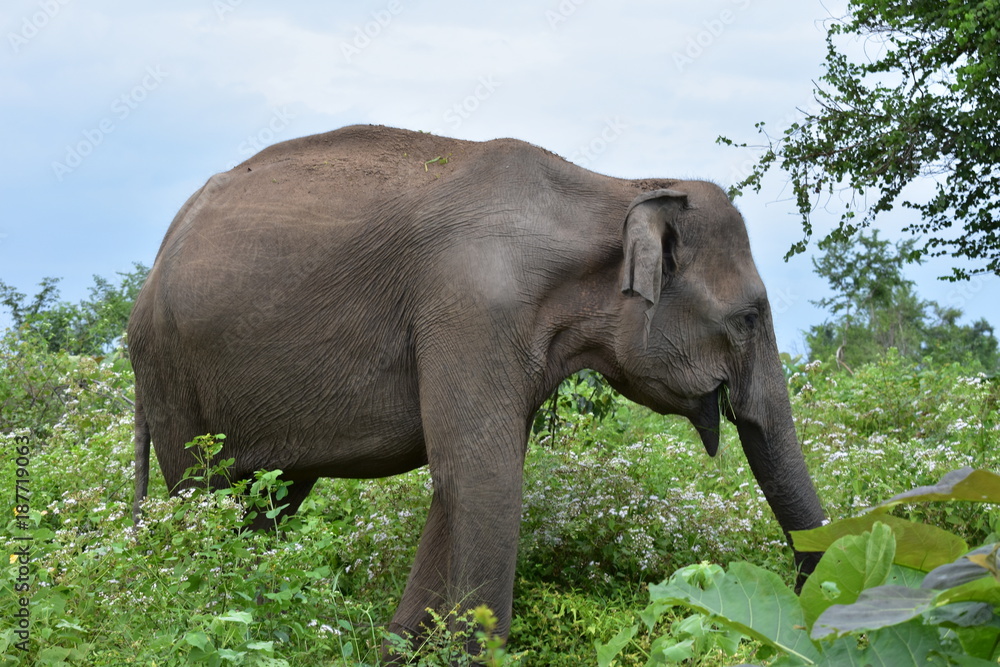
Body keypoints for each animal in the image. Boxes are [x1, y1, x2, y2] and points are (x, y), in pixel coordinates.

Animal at [129, 124, 825, 653]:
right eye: (749, 317)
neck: (616, 189)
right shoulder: (469, 308)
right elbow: (480, 477)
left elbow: (467, 481)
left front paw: (405, 649)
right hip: (171, 370)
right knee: (201, 498)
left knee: (265, 504)